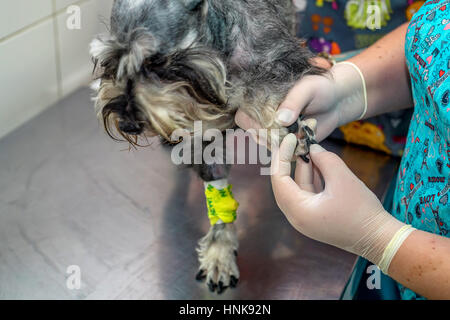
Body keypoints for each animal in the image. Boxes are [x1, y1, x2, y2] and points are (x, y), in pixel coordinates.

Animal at [91, 0, 322, 296]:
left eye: (155, 61)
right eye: (110, 61)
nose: (127, 124)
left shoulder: (277, 61)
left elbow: (263, 91)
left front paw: (285, 132)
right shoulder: (199, 137)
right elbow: (219, 193)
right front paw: (219, 253)